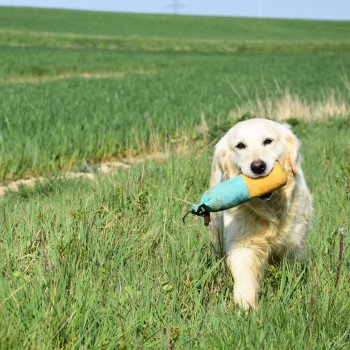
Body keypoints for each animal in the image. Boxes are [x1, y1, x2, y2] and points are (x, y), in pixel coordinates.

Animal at [209, 118, 314, 308]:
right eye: (240, 145)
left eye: (268, 141)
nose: (258, 166)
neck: (271, 210)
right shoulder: (243, 244)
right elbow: (245, 279)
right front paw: (246, 308)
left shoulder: (294, 245)